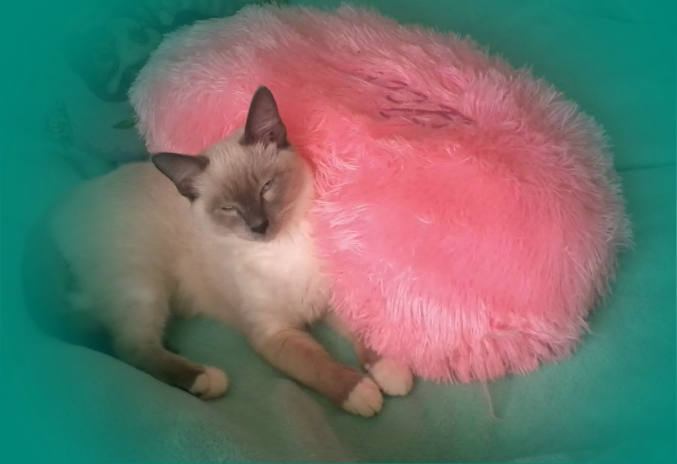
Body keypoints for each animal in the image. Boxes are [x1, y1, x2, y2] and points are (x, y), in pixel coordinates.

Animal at [26, 87, 413, 417]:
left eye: (266, 188)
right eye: (229, 209)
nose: (259, 226)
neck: (284, 247)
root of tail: (64, 201)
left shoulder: (327, 298)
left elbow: (364, 331)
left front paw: (389, 370)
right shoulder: (272, 334)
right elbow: (318, 367)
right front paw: (359, 392)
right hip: (141, 284)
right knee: (130, 347)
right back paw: (205, 379)